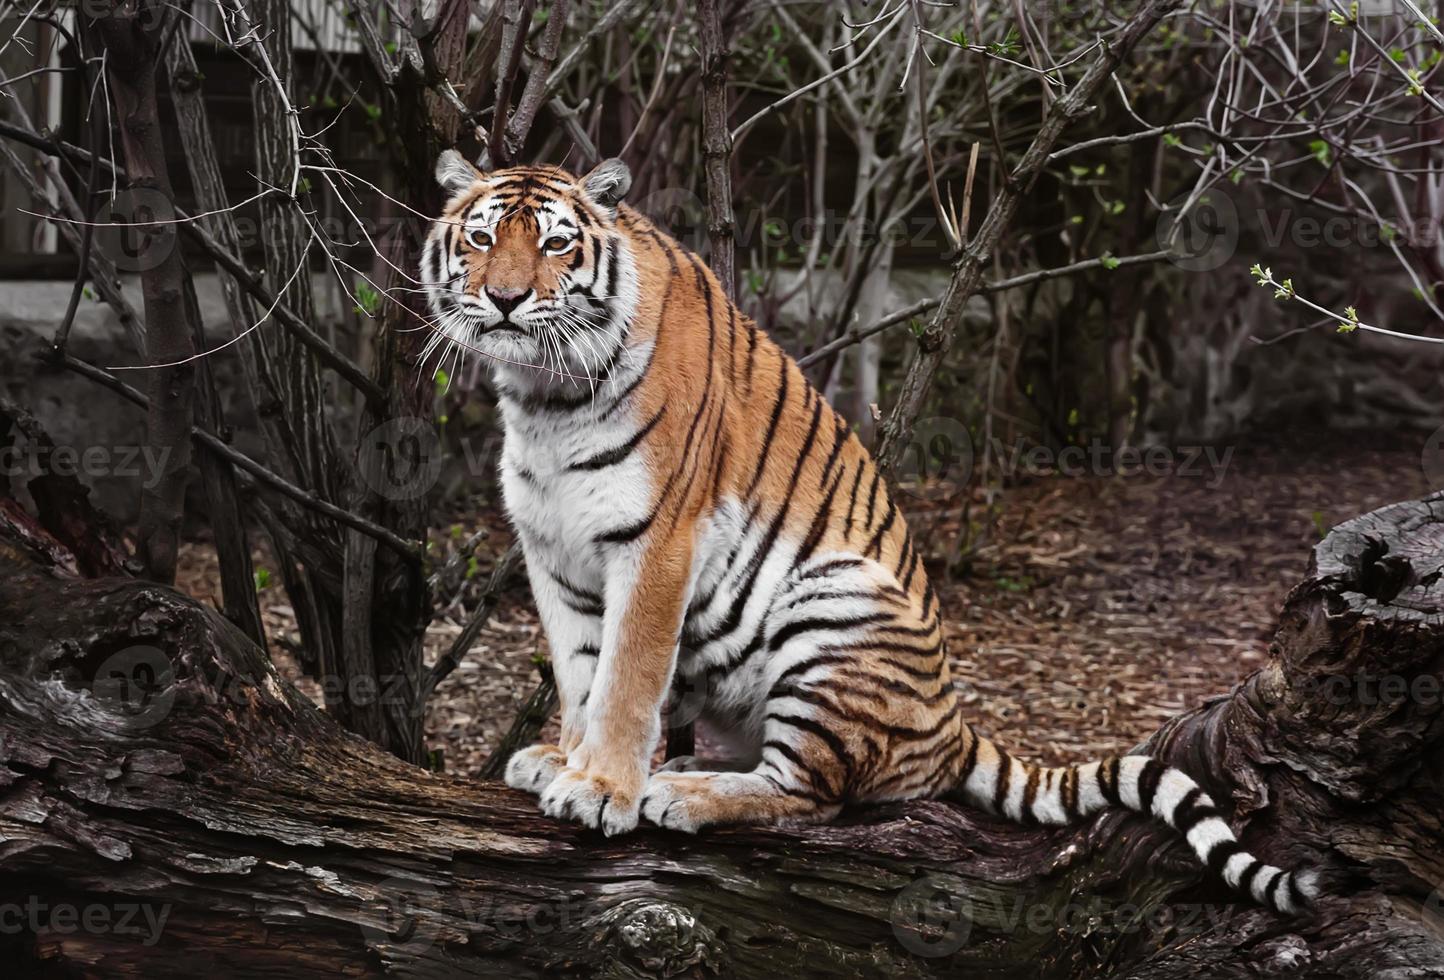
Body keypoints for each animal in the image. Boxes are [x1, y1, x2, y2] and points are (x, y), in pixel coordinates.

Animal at [415, 149, 1322, 917]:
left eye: (557, 245)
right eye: (484, 238)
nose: (505, 299)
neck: (543, 397)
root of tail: (955, 728)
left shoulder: (658, 540)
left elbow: (628, 675)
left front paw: (602, 787)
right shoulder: (553, 551)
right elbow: (580, 671)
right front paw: (561, 759)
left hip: (831, 602)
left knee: (811, 794)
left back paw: (680, 791)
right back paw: (685, 766)